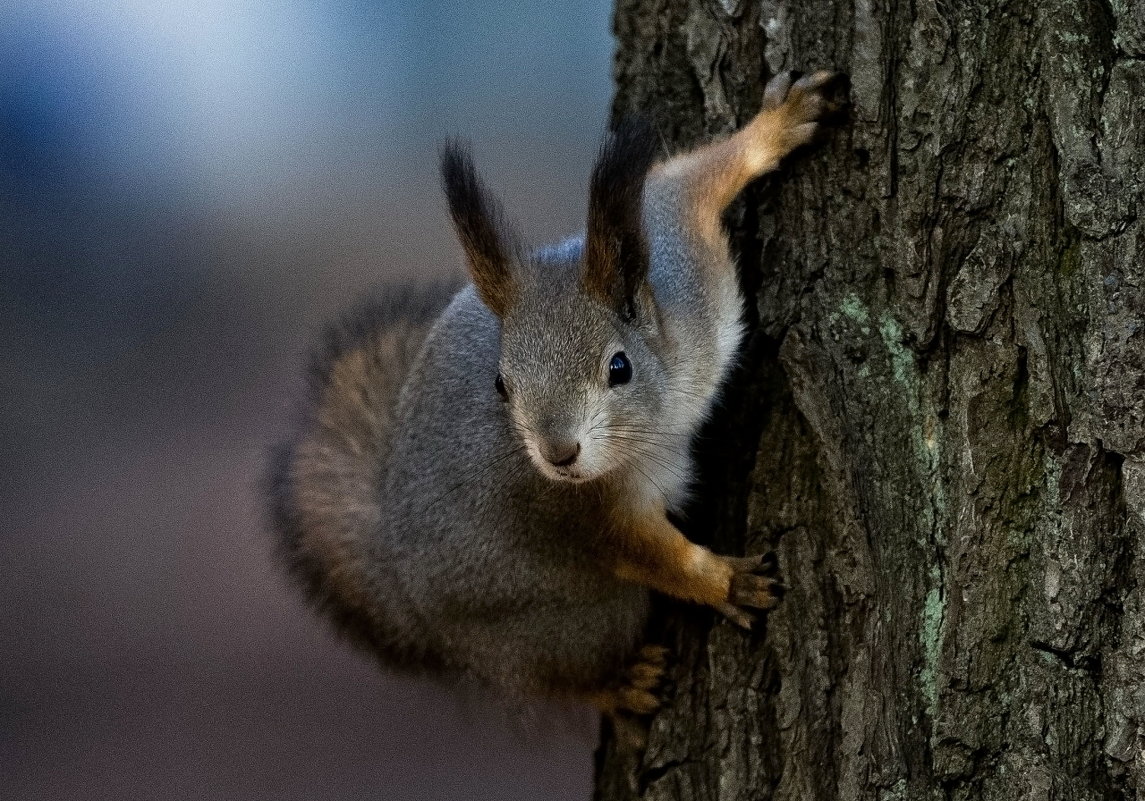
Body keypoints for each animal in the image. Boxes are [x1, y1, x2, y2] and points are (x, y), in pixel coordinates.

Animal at [265, 72, 842, 723]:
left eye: (620, 367)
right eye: (501, 384)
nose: (558, 455)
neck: (670, 392)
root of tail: (415, 609)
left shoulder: (685, 255)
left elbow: (688, 180)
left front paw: (777, 126)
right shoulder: (586, 514)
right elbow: (648, 555)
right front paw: (723, 582)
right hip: (570, 630)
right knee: (555, 682)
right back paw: (619, 686)